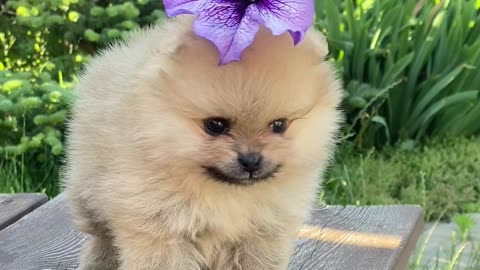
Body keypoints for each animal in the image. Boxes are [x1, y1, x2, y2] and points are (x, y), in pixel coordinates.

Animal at [62, 15, 344, 270]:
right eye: (215, 125)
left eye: (279, 125)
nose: (251, 160)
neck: (225, 193)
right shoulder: (160, 230)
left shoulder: (262, 234)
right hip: (89, 196)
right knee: (102, 239)